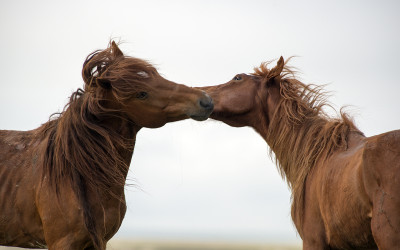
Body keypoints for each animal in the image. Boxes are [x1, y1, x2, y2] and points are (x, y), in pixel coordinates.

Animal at [0, 40, 216, 249]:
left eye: (157, 74)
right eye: (141, 94)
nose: (205, 100)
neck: (76, 171)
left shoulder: (98, 241)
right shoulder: (63, 242)